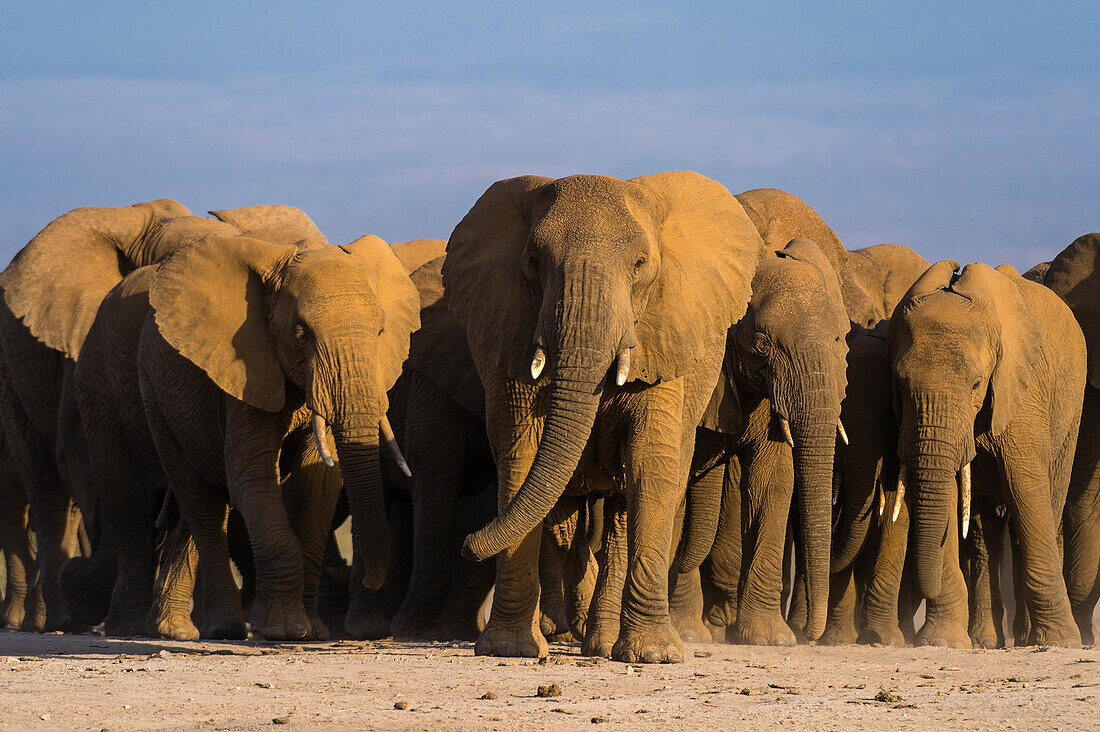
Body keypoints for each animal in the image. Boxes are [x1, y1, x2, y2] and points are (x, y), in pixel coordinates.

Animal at [137, 230, 420, 638]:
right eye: (301, 335)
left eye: (380, 331)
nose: (367, 578)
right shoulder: (246, 368)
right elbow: (252, 476)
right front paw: (283, 630)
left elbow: (319, 483)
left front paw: (313, 632)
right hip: (155, 399)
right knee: (201, 501)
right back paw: (223, 629)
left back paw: (175, 629)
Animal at [446, 171, 765, 660]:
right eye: (534, 262)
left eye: (640, 264)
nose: (466, 545)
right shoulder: (507, 330)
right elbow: (521, 456)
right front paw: (508, 650)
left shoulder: (664, 334)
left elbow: (649, 463)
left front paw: (655, 655)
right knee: (564, 512)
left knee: (623, 504)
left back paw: (602, 643)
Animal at [884, 258, 1082, 647]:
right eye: (899, 384)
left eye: (976, 384)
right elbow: (948, 495)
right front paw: (943, 641)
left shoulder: (1021, 389)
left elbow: (1027, 487)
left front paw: (1062, 641)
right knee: (980, 531)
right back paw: (985, 641)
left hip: (1071, 413)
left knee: (1044, 503)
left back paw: (1028, 638)